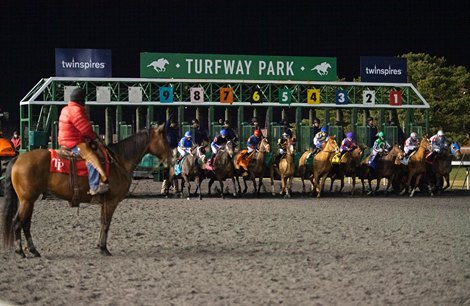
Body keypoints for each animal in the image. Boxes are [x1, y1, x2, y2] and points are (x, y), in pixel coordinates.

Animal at [1, 125, 171, 256]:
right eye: (165, 139)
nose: (172, 157)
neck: (118, 161)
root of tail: (18, 158)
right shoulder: (111, 202)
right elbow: (106, 223)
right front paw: (103, 248)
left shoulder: (104, 202)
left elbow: (102, 222)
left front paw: (100, 246)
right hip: (27, 200)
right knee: (17, 222)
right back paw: (20, 251)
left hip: (29, 200)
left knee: (26, 224)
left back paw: (33, 250)